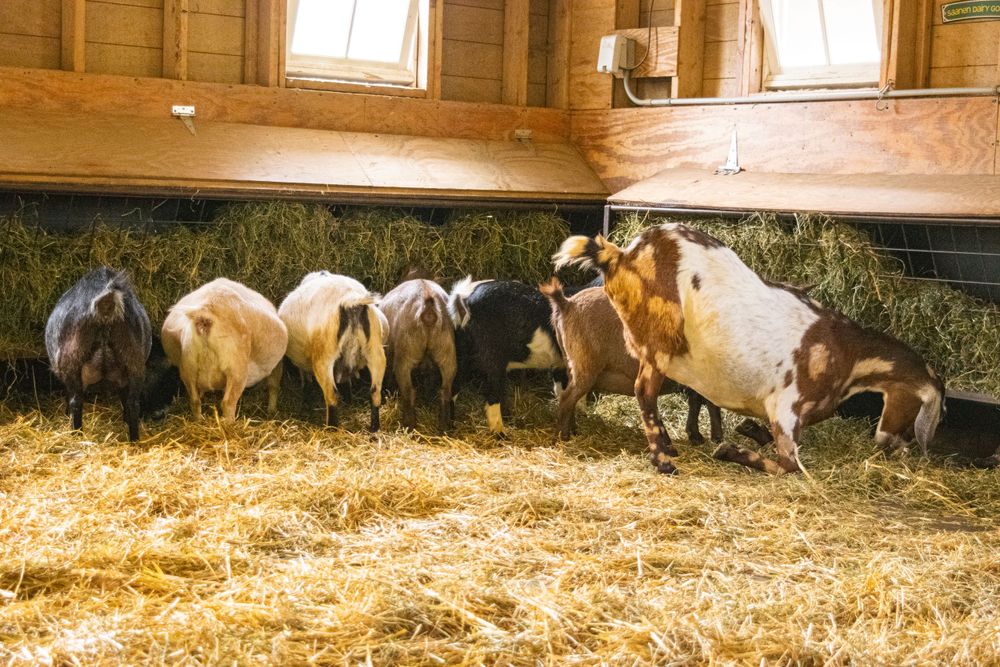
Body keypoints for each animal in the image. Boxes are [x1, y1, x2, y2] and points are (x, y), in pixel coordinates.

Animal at [44, 267, 152, 441]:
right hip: (134, 361)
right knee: (133, 403)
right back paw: (134, 440)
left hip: (72, 360)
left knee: (76, 401)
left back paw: (76, 435)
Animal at [161, 278, 288, 421]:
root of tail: (206, 313)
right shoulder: (277, 365)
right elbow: (274, 386)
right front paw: (272, 411)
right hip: (236, 369)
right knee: (228, 403)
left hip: (188, 367)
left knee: (195, 400)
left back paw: (199, 420)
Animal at [278, 271, 388, 431]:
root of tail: (349, 299)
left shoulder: (303, 364)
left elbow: (306, 382)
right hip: (375, 352)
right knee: (375, 392)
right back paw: (374, 427)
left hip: (323, 358)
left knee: (331, 395)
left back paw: (331, 428)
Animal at [380, 278, 457, 431]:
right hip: (447, 352)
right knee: (445, 391)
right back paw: (444, 426)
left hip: (405, 355)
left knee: (408, 391)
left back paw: (408, 426)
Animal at [554, 223, 945, 475]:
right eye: (923, 406)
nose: (893, 444)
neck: (849, 356)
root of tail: (620, 256)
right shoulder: (786, 408)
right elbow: (789, 466)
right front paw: (730, 449)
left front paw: (746, 431)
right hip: (658, 344)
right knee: (643, 393)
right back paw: (663, 460)